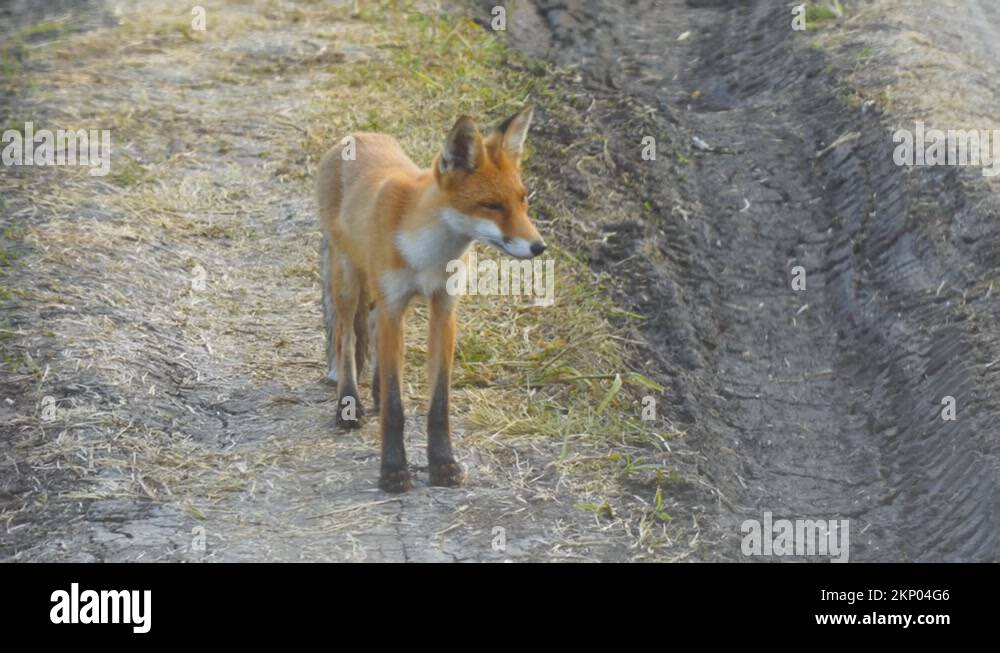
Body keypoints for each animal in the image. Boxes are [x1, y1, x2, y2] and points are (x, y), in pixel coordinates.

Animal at [316, 104, 545, 493]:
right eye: (491, 206)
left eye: (523, 200)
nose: (539, 247)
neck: (428, 255)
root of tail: (358, 134)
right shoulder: (394, 306)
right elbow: (395, 409)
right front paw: (393, 471)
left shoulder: (443, 308)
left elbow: (439, 404)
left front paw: (443, 463)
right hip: (347, 280)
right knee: (345, 340)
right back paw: (349, 404)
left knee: (371, 329)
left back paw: (375, 391)